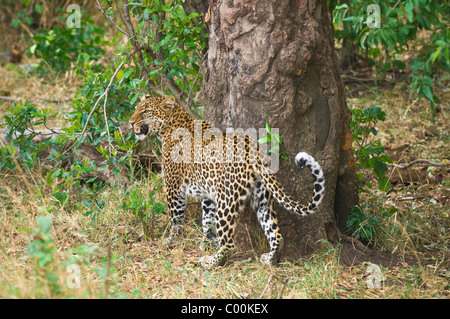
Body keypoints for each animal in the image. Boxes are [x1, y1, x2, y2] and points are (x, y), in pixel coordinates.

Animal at [128, 95, 326, 270]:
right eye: (136, 109)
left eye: (145, 111)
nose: (130, 123)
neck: (169, 125)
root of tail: (254, 148)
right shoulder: (208, 193)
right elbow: (206, 220)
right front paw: (206, 242)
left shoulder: (173, 188)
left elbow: (176, 219)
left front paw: (171, 242)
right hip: (262, 197)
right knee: (276, 234)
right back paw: (270, 259)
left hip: (227, 199)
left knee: (229, 244)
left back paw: (210, 262)